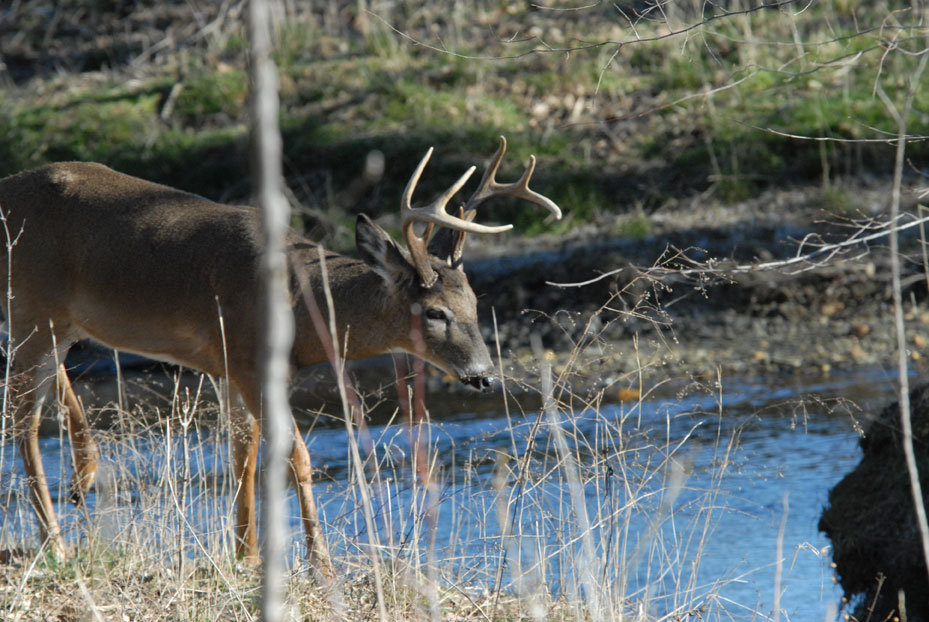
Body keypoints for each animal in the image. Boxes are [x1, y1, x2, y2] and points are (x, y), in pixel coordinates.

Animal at [0, 138, 560, 576]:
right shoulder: (251, 361)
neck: (299, 307)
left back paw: (83, 476)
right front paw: (320, 564)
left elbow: (243, 452)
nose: (484, 376)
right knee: (22, 420)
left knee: (41, 393)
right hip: (33, 306)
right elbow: (297, 456)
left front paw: (245, 554)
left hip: (54, 322)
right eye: (435, 311)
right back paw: (57, 542)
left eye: (475, 302)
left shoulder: (230, 366)